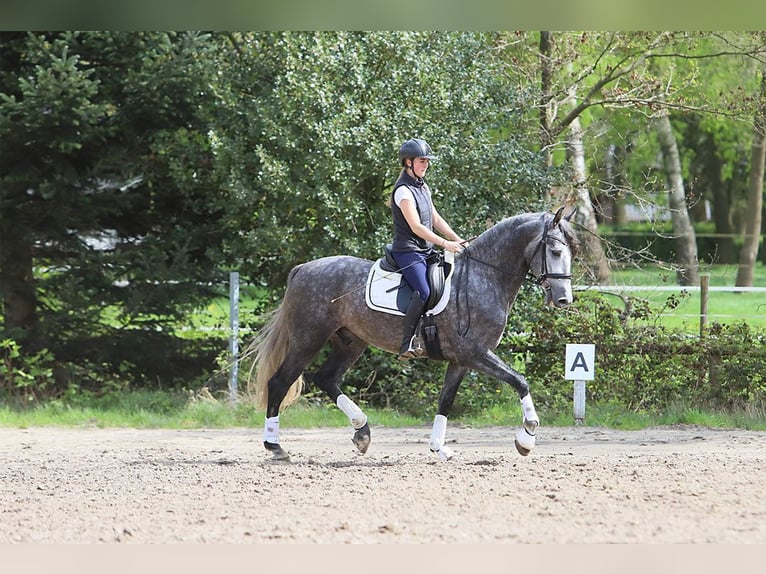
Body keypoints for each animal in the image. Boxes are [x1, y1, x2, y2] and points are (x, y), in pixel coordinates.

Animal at [244, 207, 578, 461]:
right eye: (555, 251)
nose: (564, 299)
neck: (483, 277)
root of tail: (303, 268)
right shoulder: (475, 353)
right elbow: (520, 381)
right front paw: (527, 437)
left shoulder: (461, 360)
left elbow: (445, 401)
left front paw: (439, 449)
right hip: (308, 338)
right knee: (279, 382)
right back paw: (275, 447)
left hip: (350, 342)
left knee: (326, 378)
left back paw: (362, 433)